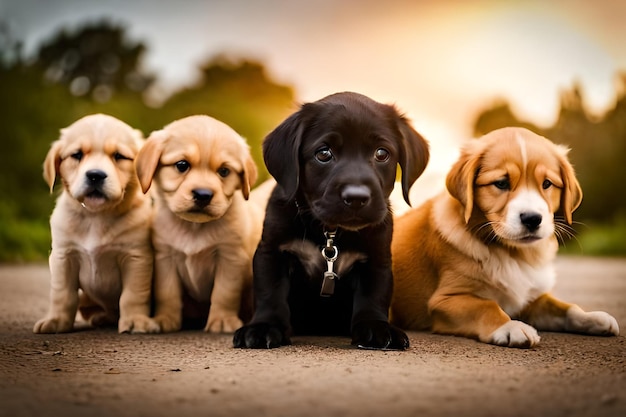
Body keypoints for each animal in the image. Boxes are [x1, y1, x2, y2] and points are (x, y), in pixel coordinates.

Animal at [33, 114, 158, 334]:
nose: (95, 175)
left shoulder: (136, 258)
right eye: (77, 155)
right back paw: (102, 317)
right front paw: (56, 320)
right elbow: (62, 294)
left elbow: (132, 295)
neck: (96, 216)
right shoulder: (63, 256)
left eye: (118, 156)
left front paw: (135, 320)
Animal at [234, 91, 428, 348]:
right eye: (324, 153)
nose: (356, 198)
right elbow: (270, 290)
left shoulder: (378, 258)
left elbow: (374, 294)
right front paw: (264, 326)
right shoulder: (271, 251)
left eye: (381, 153)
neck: (330, 232)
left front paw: (376, 326)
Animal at [392, 127, 616, 348]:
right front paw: (511, 327)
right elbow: (486, 306)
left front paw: (591, 317)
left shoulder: (530, 298)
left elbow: (563, 307)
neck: (511, 252)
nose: (532, 219)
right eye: (501, 183)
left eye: (547, 184)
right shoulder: (445, 299)